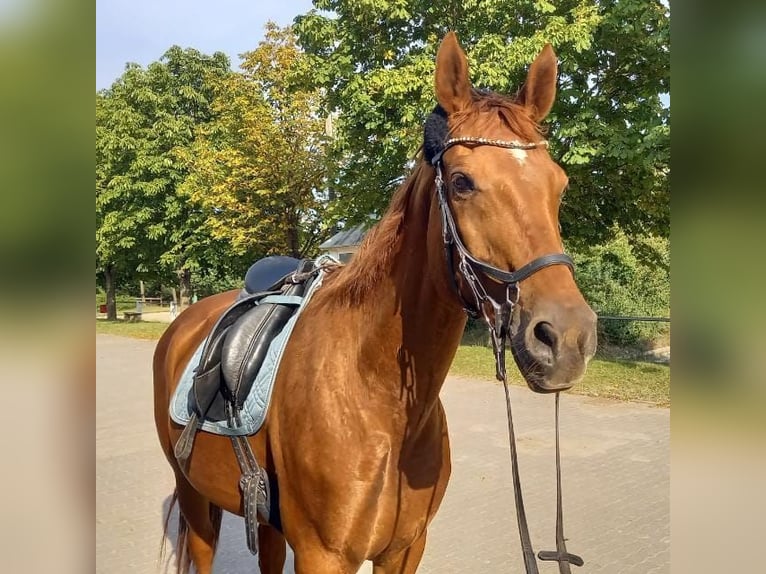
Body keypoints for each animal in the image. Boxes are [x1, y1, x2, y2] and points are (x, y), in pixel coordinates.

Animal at [154, 32, 600, 574]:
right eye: (462, 182)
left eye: (559, 184)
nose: (566, 338)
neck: (378, 400)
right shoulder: (322, 557)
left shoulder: (406, 548)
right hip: (193, 496)